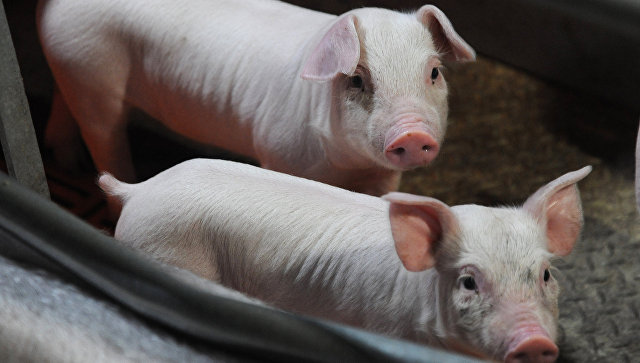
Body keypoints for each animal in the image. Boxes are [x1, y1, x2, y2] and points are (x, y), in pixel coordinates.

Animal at [36, 0, 476, 196]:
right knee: (104, 136)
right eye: (356, 79)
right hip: (92, 70)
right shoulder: (278, 149)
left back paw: (68, 163)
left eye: (433, 73)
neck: (346, 164)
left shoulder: (383, 175)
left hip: (72, 67)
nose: (412, 134)